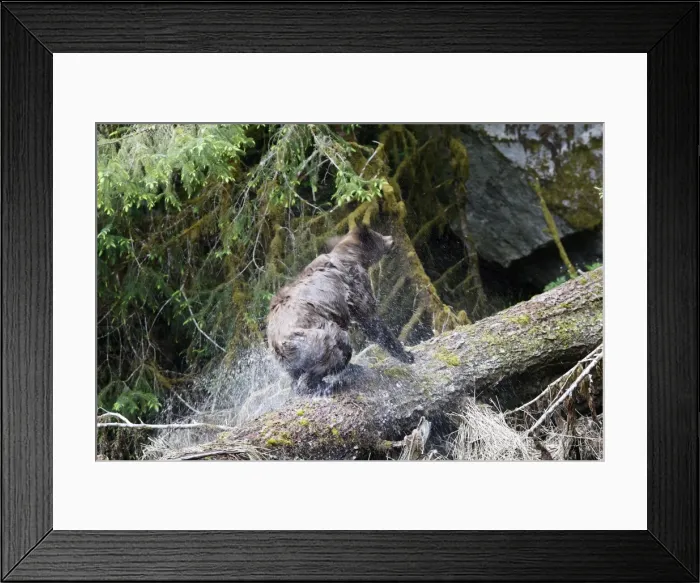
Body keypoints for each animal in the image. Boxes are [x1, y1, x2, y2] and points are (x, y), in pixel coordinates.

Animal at [266, 224, 414, 394]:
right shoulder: (355, 286)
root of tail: (278, 345)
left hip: (290, 359)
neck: (353, 257)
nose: (391, 239)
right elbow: (370, 320)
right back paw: (335, 380)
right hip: (314, 337)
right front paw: (407, 355)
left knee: (298, 375)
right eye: (378, 234)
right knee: (339, 347)